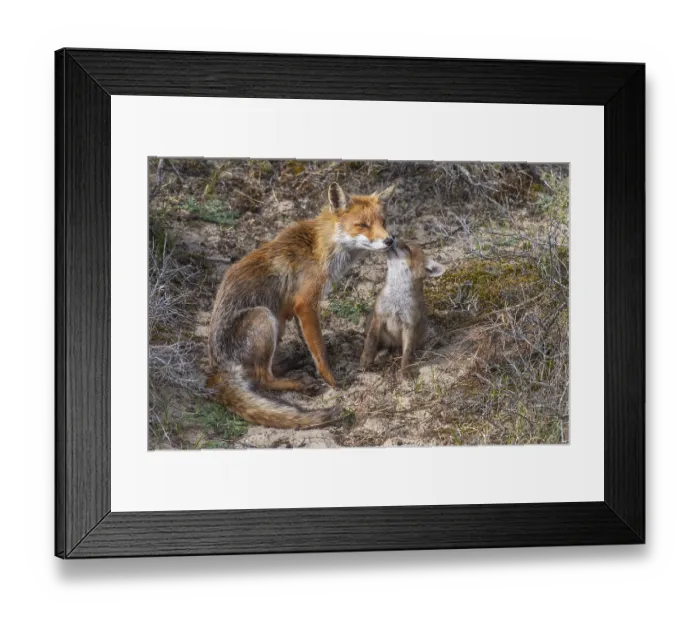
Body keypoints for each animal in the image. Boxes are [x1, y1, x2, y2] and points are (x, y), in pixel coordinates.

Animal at [207, 181, 396, 429]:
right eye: (362, 225)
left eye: (384, 222)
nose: (390, 240)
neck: (320, 247)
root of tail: (217, 367)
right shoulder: (305, 304)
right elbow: (320, 351)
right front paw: (332, 382)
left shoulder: (296, 311)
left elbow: (310, 343)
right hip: (264, 317)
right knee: (262, 378)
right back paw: (298, 384)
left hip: (278, 323)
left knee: (264, 371)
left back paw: (293, 363)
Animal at [360, 240, 445, 379]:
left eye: (407, 248)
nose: (390, 238)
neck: (397, 299)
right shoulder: (379, 316)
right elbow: (371, 342)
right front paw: (366, 360)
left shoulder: (409, 324)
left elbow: (408, 352)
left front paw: (406, 371)